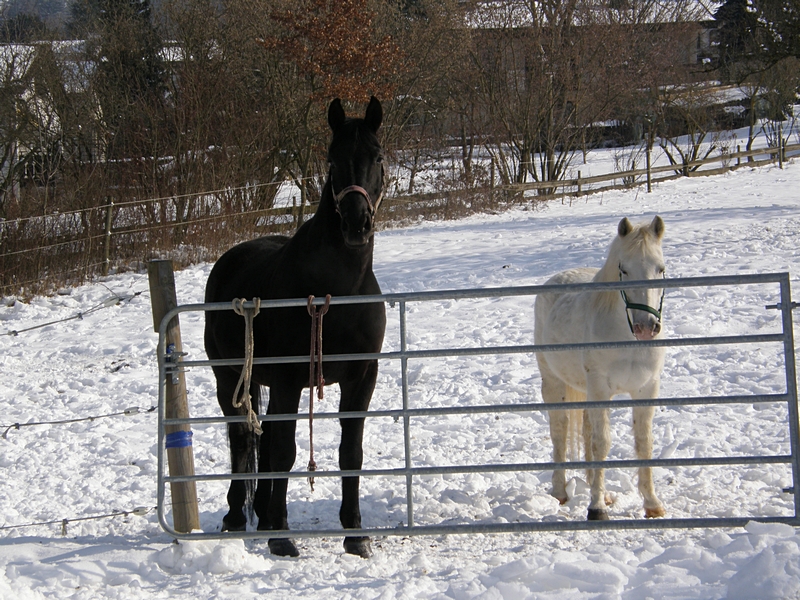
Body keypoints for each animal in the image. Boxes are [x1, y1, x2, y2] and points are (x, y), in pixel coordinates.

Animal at [206, 97, 388, 556]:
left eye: (377, 156)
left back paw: (261, 513)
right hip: (231, 378)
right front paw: (282, 538)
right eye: (332, 159)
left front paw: (355, 535)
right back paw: (238, 516)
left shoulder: (362, 377)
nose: (357, 224)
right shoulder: (289, 379)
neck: (336, 292)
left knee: (264, 438)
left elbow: (350, 452)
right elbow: (285, 452)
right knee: (243, 438)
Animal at [536, 217, 664, 520]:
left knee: (584, 431)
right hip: (554, 383)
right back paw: (560, 492)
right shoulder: (601, 389)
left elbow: (644, 442)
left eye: (661, 268)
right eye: (623, 269)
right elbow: (601, 443)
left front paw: (651, 503)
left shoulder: (646, 389)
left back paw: (601, 491)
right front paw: (595, 509)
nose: (646, 328)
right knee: (560, 431)